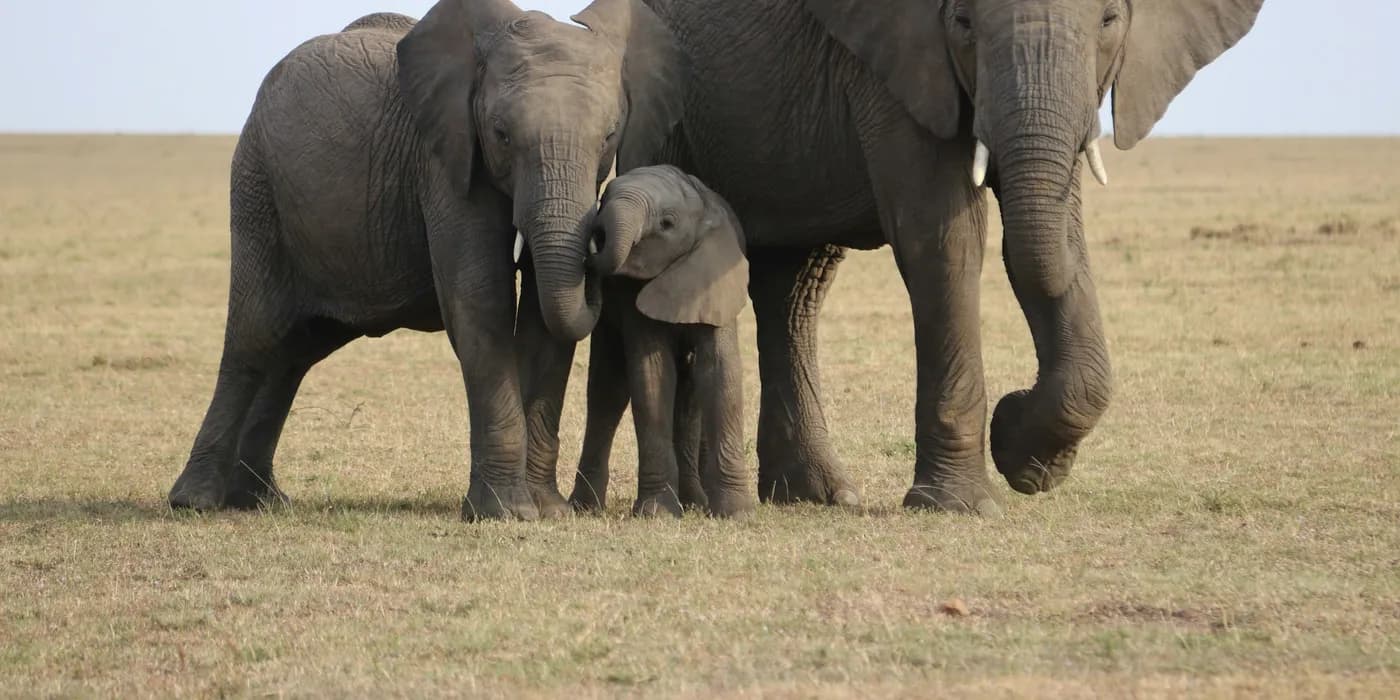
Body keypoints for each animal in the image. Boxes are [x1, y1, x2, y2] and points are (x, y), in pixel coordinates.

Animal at [166, 0, 684, 521]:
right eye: (501, 135)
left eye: (609, 137)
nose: (600, 243)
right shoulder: (444, 162)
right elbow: (481, 301)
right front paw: (506, 513)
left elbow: (544, 317)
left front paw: (548, 510)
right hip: (257, 188)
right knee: (254, 337)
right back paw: (195, 501)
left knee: (295, 351)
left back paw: (259, 500)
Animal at [564, 165, 755, 519]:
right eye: (604, 198)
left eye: (667, 223)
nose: (595, 234)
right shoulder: (630, 294)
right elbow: (652, 375)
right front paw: (657, 514)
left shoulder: (716, 278)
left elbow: (720, 372)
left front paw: (737, 513)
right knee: (607, 392)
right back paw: (585, 508)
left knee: (689, 394)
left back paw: (694, 502)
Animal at [613, 0, 1265, 513]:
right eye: (963, 22)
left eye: (1109, 20)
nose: (1013, 407)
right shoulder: (895, 63)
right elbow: (946, 236)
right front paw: (962, 501)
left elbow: (1057, 236)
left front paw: (1030, 463)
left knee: (795, 286)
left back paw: (817, 495)